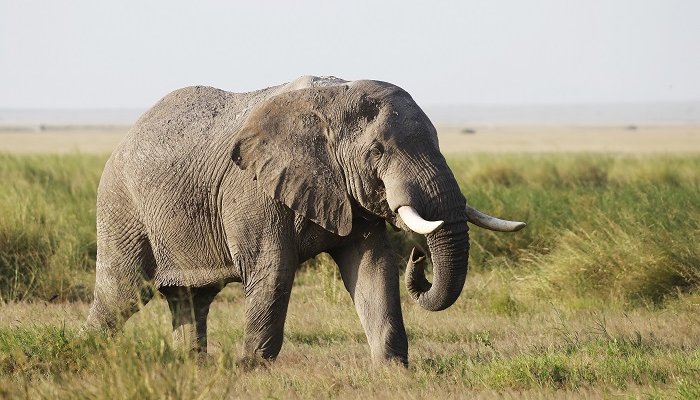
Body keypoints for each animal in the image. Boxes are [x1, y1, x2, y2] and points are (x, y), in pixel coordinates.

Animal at [84, 75, 525, 365]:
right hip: (121, 205)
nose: (419, 260)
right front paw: (250, 372)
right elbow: (274, 271)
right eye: (378, 150)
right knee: (121, 293)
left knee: (191, 300)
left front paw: (393, 372)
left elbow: (373, 268)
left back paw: (191, 369)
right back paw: (83, 353)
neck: (332, 98)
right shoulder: (254, 189)